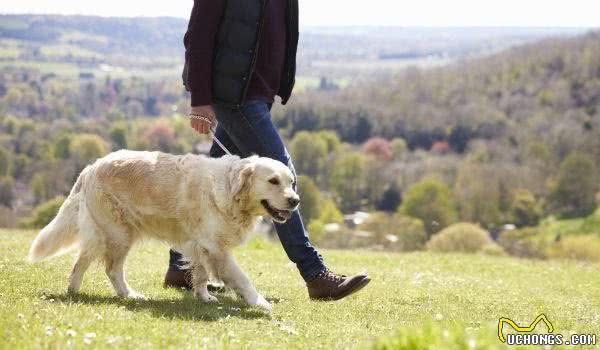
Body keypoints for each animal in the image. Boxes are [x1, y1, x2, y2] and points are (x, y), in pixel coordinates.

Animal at [27, 150, 300, 312]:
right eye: (273, 181)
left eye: (291, 182)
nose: (295, 201)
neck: (230, 190)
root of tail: (91, 167)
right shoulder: (216, 247)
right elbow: (242, 278)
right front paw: (259, 302)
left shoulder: (201, 245)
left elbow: (201, 274)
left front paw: (204, 297)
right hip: (117, 235)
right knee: (105, 268)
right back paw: (120, 294)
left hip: (109, 234)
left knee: (87, 263)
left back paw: (82, 291)